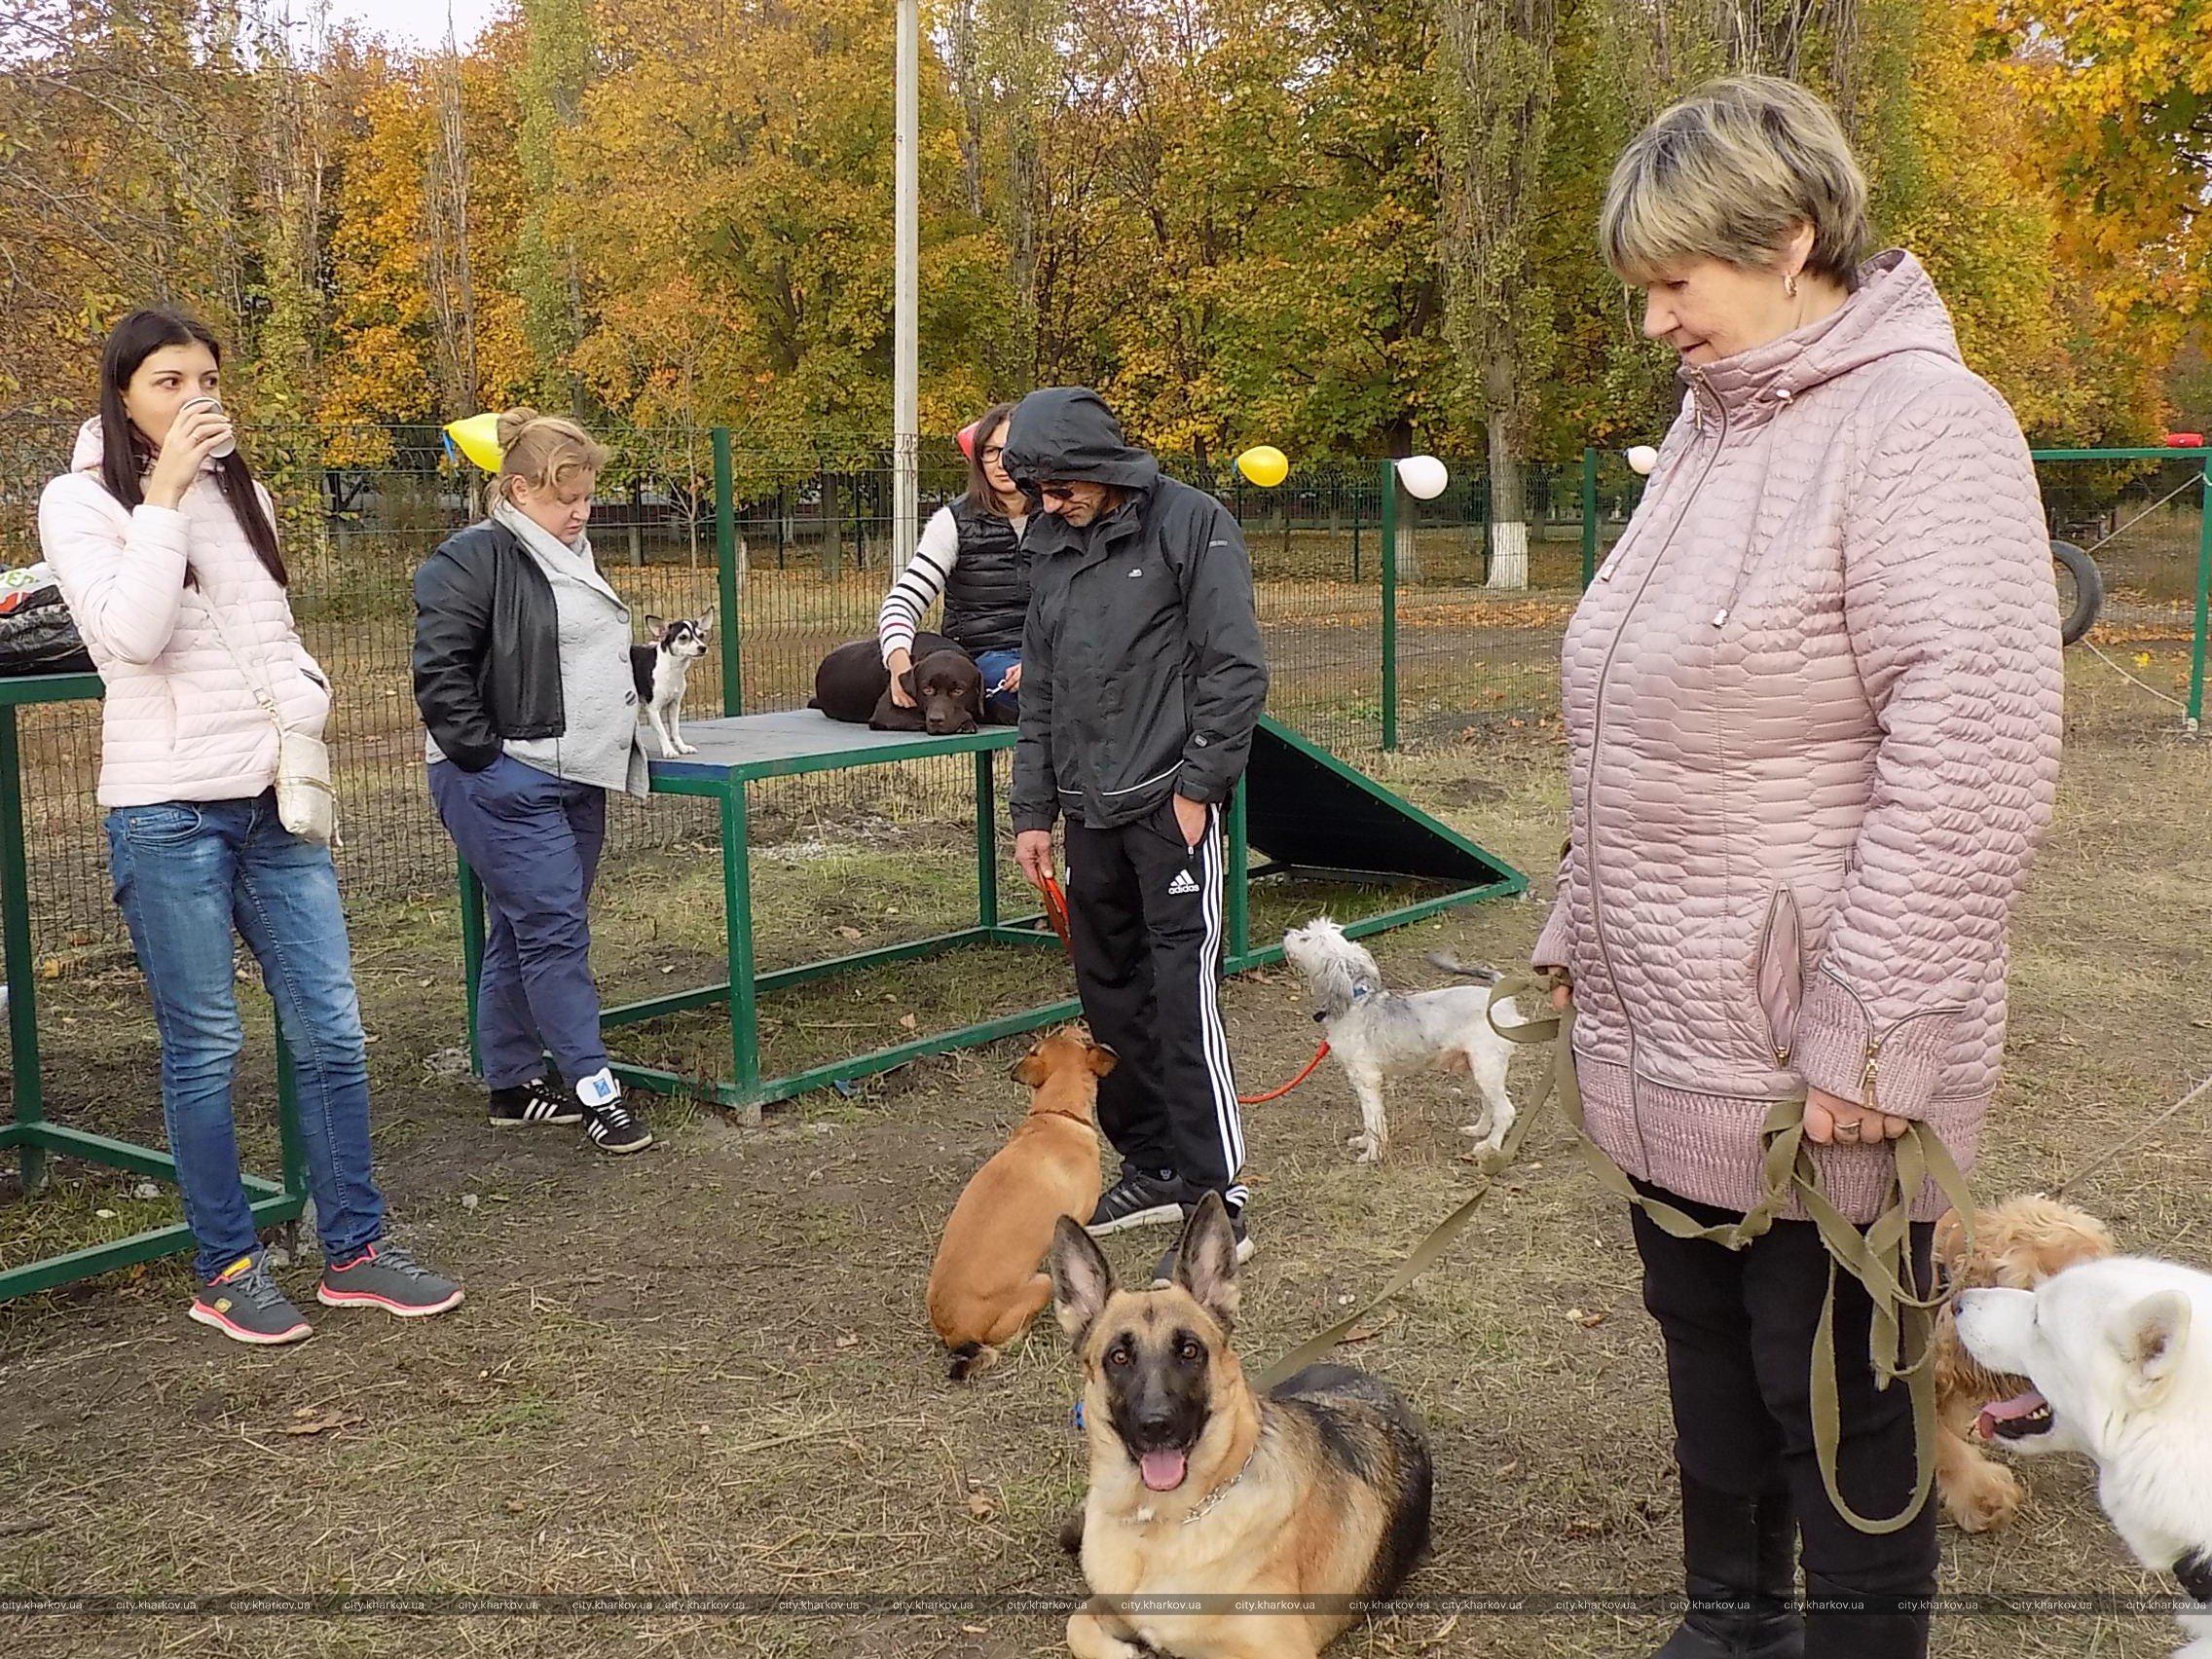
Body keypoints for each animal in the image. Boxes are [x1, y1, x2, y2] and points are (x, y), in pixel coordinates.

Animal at [1048, 1194, 1433, 1659]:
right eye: (1118, 1358)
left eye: (1190, 1351)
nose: (1157, 1426)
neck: (1161, 1523)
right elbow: (1076, 1622)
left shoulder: (1282, 1650)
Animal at [1282, 924, 1522, 1167]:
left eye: (1305, 938)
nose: (1286, 932)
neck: (1355, 1004)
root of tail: (1501, 999)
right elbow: (1370, 1119)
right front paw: (1364, 1141)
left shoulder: (1367, 1079)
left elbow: (1374, 1119)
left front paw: (1372, 1154)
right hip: (1478, 1067)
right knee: (1489, 1104)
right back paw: (1479, 1130)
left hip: (1487, 1066)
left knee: (1505, 1111)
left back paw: (1490, 1146)